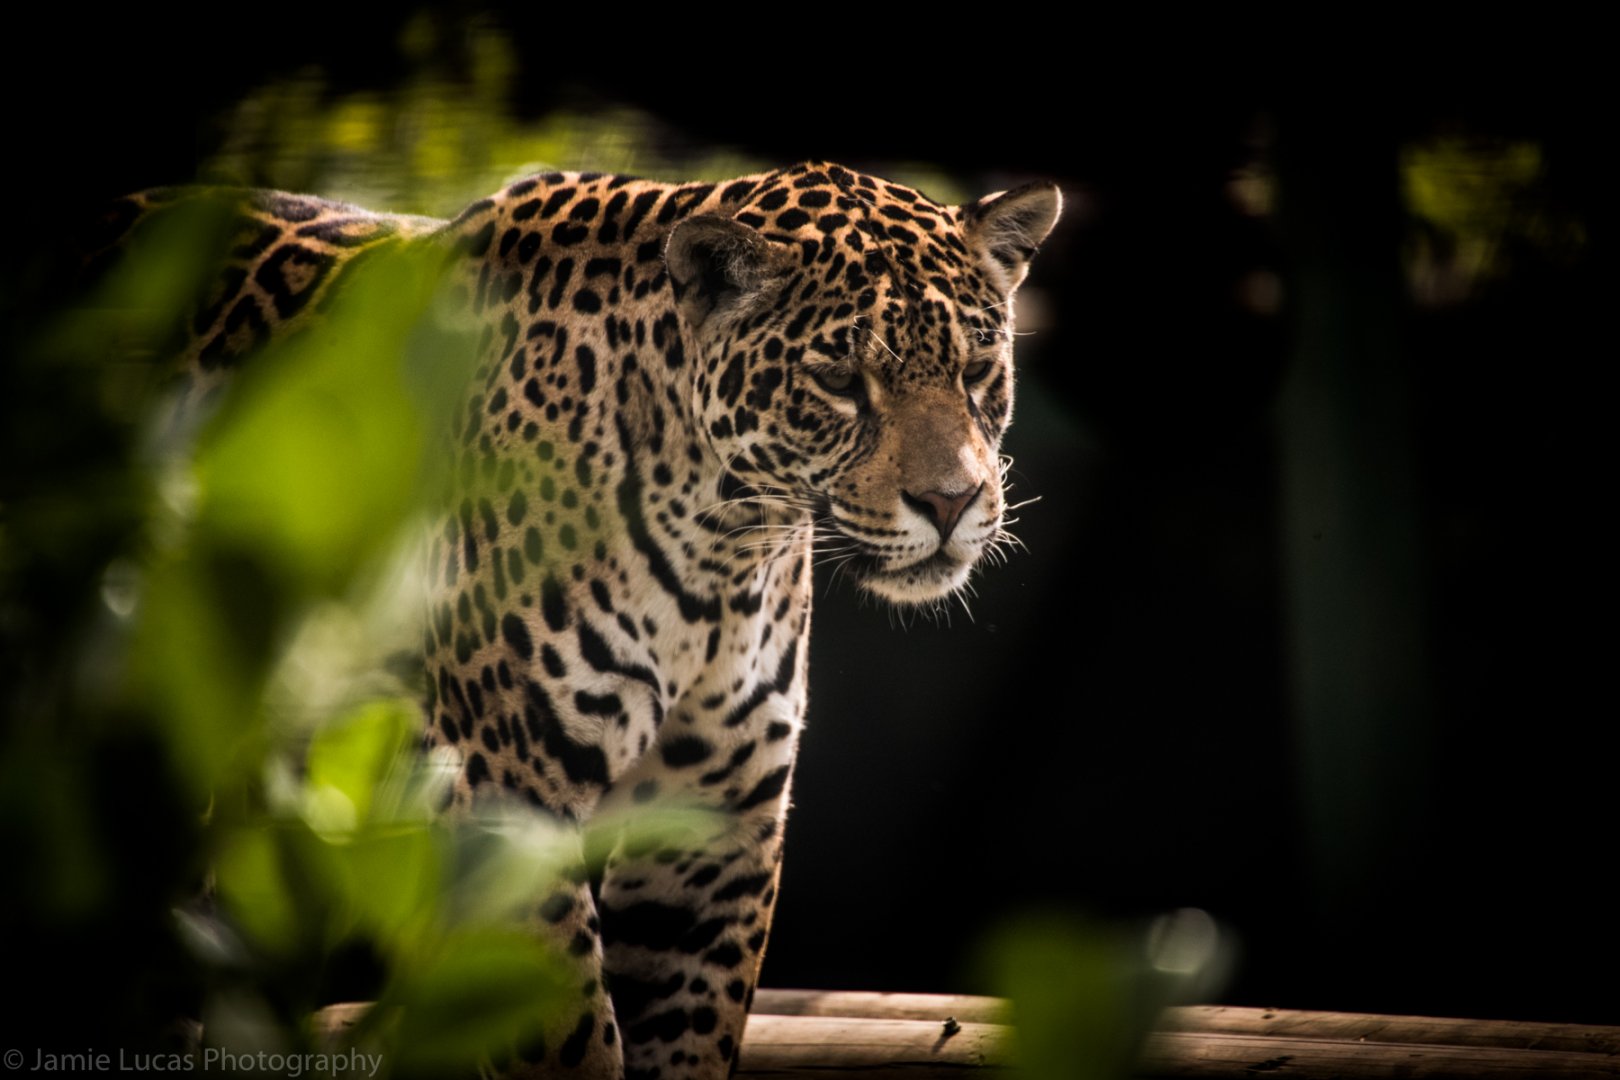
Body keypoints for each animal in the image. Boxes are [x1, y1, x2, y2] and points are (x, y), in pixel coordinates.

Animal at [111, 161, 1060, 1078]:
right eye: (837, 382)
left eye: (977, 371)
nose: (952, 502)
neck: (722, 552)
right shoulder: (506, 803)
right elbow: (569, 1040)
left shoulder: (714, 828)